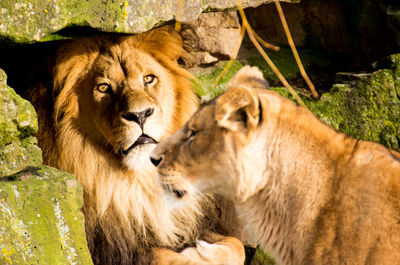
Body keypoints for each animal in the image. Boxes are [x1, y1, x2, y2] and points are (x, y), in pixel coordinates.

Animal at [27, 25, 244, 264]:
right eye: (103, 88)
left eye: (148, 79)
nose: (139, 115)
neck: (139, 182)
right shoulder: (111, 248)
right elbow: (168, 258)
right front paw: (196, 253)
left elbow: (237, 245)